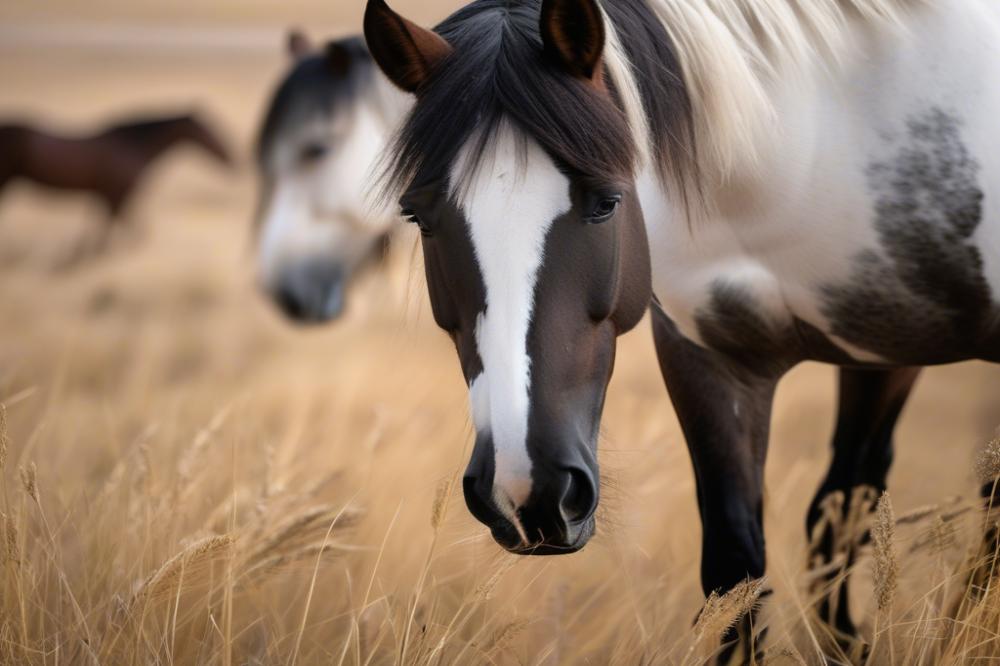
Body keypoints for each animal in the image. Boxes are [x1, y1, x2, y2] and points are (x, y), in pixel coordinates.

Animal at [0, 112, 232, 252]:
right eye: (209, 130)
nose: (232, 157)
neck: (133, 146)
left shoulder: (110, 195)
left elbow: (114, 227)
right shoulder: (115, 194)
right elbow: (118, 228)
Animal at [364, 0, 1000, 656]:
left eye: (607, 202)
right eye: (419, 217)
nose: (526, 492)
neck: (825, 145)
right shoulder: (711, 364)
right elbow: (738, 571)